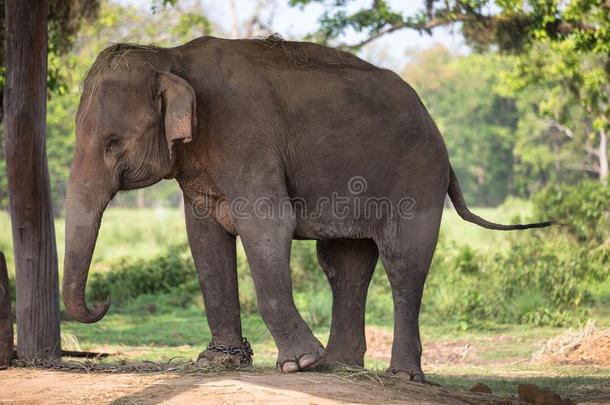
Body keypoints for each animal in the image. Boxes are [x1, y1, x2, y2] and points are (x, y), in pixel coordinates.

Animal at [63, 34, 552, 378]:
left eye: (113, 143)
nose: (104, 300)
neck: (172, 58)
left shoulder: (245, 135)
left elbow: (267, 226)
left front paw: (298, 364)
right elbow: (204, 240)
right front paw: (219, 362)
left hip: (417, 175)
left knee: (403, 262)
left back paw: (402, 375)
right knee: (344, 265)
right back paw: (340, 366)